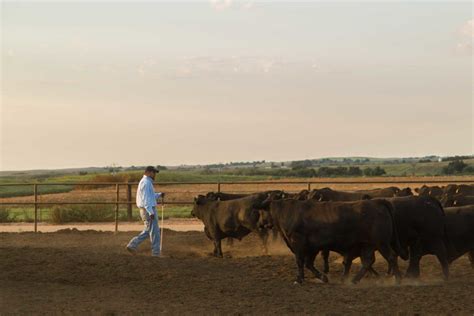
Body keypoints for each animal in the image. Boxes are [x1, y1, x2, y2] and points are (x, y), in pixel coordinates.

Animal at [258, 198, 406, 284]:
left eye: (261, 212)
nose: (259, 224)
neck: (287, 212)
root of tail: (377, 202)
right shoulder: (312, 247)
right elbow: (308, 263)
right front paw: (323, 277)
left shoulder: (298, 244)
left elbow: (300, 262)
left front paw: (299, 279)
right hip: (368, 245)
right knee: (368, 262)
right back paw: (353, 280)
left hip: (381, 243)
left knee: (391, 257)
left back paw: (398, 279)